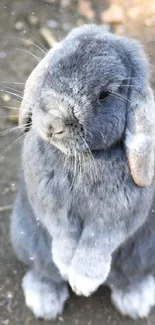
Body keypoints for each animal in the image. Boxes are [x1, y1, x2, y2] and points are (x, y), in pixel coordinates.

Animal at [10, 24, 155, 318]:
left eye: (104, 95)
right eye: (50, 70)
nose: (53, 124)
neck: (82, 159)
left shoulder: (116, 217)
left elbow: (96, 242)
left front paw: (83, 282)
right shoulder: (51, 206)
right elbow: (63, 234)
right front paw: (69, 269)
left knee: (128, 277)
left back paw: (136, 301)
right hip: (26, 238)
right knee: (44, 270)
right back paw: (44, 302)